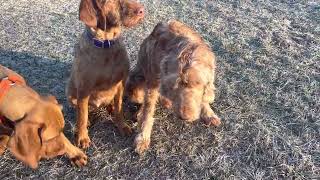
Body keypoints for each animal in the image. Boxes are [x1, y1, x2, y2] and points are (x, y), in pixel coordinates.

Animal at [67, 0, 144, 149]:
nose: (142, 10)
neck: (106, 44)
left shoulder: (120, 84)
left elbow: (119, 109)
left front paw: (122, 126)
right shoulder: (84, 89)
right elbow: (82, 115)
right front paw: (82, 137)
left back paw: (111, 108)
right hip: (71, 94)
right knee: (81, 110)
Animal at [126, 20, 221, 155]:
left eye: (197, 83)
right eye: (174, 85)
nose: (184, 117)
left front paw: (208, 113)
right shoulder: (153, 82)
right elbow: (147, 111)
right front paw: (142, 138)